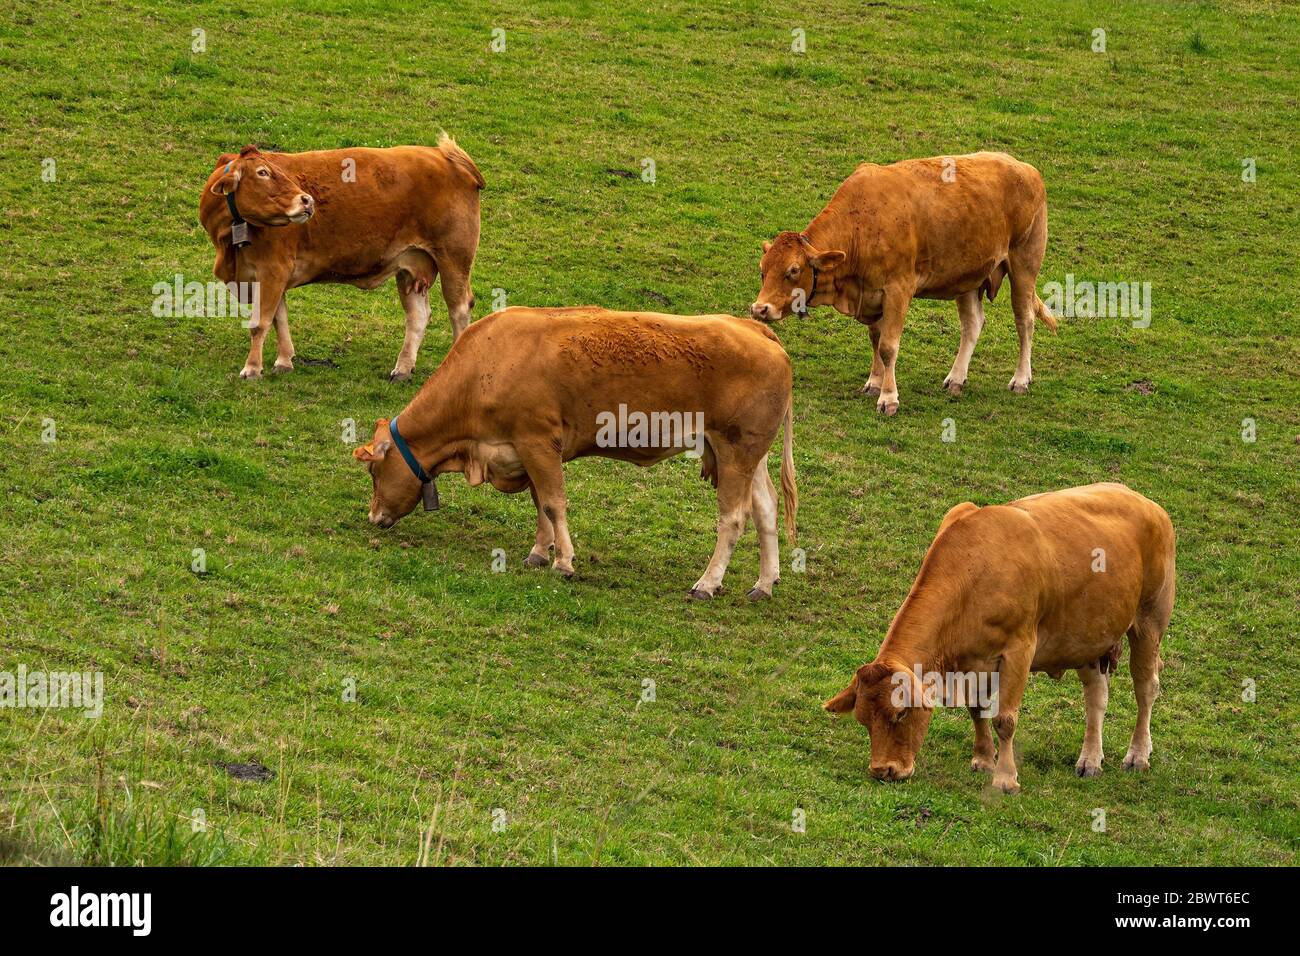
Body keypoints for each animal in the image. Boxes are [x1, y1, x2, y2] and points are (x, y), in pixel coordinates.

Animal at [198, 134, 484, 381]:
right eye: (263, 172)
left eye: (273, 170)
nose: (307, 200)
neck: (229, 244)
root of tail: (443, 154)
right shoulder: (267, 275)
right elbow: (280, 317)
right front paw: (284, 361)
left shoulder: (273, 270)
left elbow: (261, 322)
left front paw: (252, 368)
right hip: (410, 265)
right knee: (418, 316)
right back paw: (402, 369)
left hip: (454, 258)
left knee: (459, 309)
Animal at [351, 307, 798, 600]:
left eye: (374, 472)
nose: (372, 517)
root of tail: (754, 329)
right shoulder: (527, 450)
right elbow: (540, 503)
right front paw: (538, 552)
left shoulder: (537, 441)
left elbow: (553, 502)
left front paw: (563, 562)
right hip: (745, 455)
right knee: (766, 509)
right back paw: (764, 583)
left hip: (736, 451)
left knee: (734, 518)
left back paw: (708, 583)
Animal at [750, 151, 1058, 415]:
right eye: (763, 270)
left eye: (793, 270)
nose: (759, 309)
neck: (861, 223)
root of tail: (1025, 168)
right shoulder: (872, 293)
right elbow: (876, 339)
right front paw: (874, 383)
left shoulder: (898, 289)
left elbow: (888, 346)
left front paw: (889, 398)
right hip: (968, 276)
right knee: (972, 324)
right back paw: (956, 378)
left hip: (1024, 264)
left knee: (1025, 320)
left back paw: (1021, 379)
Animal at [824, 483, 1175, 794]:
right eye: (863, 720)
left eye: (900, 714)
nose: (883, 770)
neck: (974, 571)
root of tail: (1146, 503)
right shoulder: (971, 660)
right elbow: (976, 707)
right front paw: (983, 759)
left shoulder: (1020, 650)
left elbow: (1005, 719)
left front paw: (1006, 779)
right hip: (1088, 636)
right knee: (1096, 697)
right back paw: (1089, 760)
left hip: (1150, 619)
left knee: (1146, 688)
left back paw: (1138, 755)